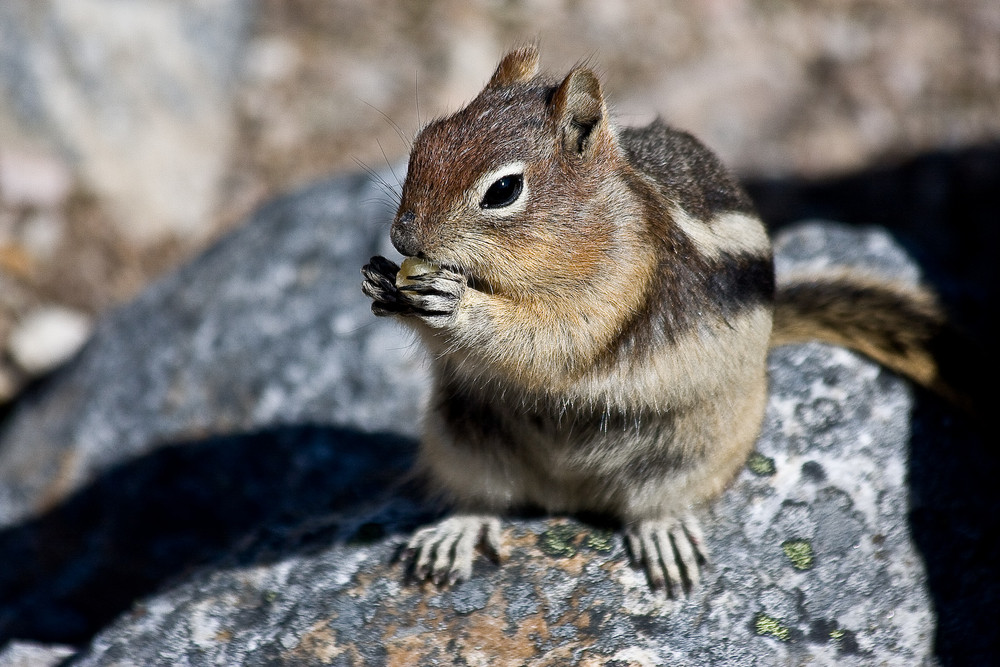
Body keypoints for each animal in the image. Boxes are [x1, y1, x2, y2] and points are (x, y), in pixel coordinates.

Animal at [362, 44, 960, 592]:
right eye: (424, 142)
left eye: (503, 190)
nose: (402, 239)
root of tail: (565, 494)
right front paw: (381, 281)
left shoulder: (621, 280)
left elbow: (554, 340)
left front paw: (452, 300)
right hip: (459, 435)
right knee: (484, 496)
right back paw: (455, 531)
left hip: (694, 444)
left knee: (654, 502)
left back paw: (663, 534)